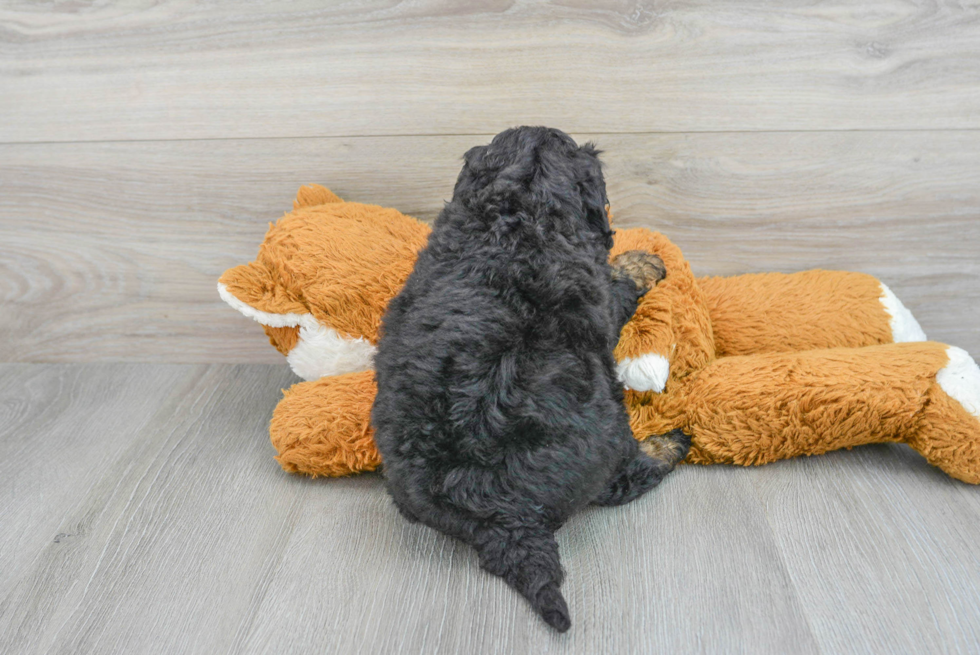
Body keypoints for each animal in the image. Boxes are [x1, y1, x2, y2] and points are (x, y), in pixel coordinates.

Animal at [370, 125, 688, 632]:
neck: (514, 212)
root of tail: (498, 516)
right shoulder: (600, 297)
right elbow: (617, 284)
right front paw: (643, 263)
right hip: (605, 430)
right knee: (621, 481)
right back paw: (669, 445)